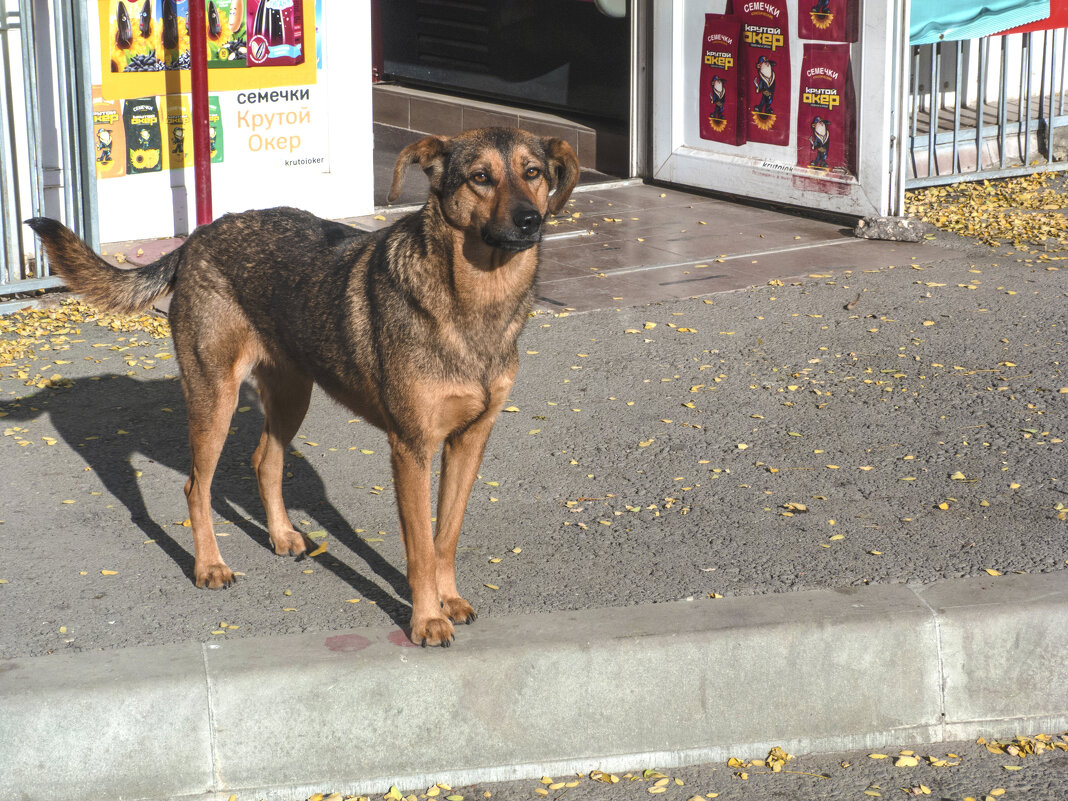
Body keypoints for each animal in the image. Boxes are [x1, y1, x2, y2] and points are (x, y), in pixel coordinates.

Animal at [29, 128, 580, 649]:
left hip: (294, 396)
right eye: (480, 178)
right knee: (196, 487)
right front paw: (426, 619)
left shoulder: (469, 441)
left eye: (532, 172)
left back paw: (280, 535)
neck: (478, 300)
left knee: (264, 461)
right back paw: (209, 566)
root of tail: (199, 235)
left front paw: (449, 600)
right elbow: (421, 548)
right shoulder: (412, 447)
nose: (531, 220)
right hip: (215, 398)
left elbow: (446, 535)